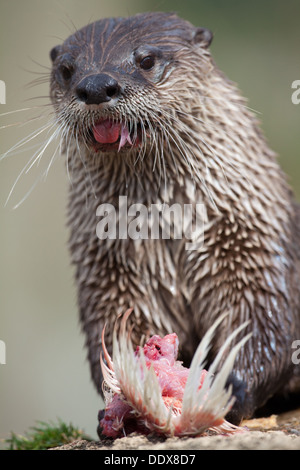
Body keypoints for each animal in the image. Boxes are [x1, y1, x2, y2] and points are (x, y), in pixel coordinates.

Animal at [49, 11, 300, 422]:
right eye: (67, 70)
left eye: (147, 60)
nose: (96, 85)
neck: (171, 220)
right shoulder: (110, 268)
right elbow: (118, 327)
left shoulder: (253, 243)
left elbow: (262, 321)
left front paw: (229, 388)